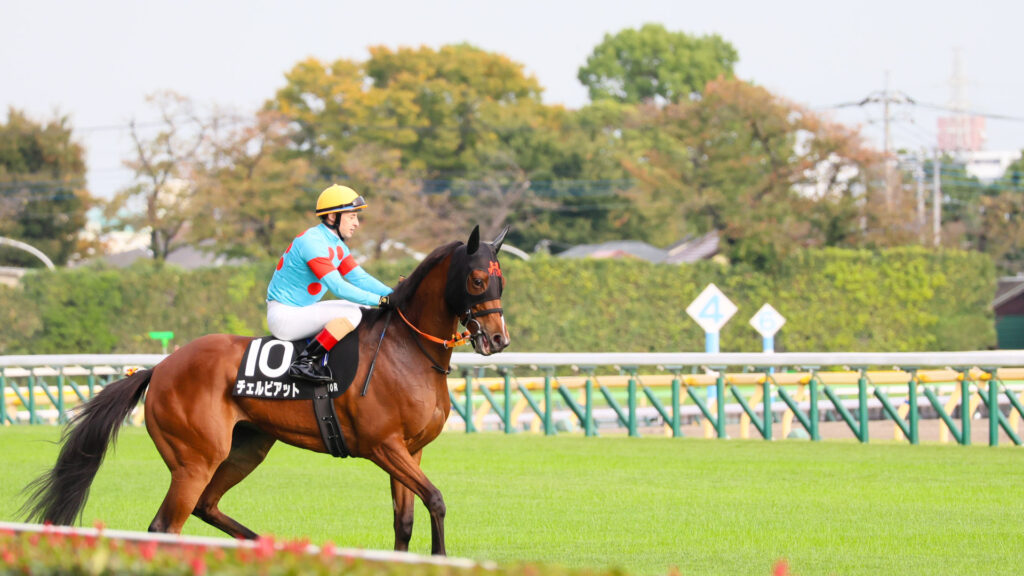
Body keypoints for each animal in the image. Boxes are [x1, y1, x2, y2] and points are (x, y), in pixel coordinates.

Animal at [21, 225, 511, 556]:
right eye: (478, 280)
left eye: (502, 280)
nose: (498, 339)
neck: (406, 349)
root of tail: (160, 367)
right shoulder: (382, 445)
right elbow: (436, 500)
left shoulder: (411, 450)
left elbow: (405, 520)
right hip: (194, 459)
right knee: (165, 527)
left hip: (246, 448)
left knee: (206, 507)